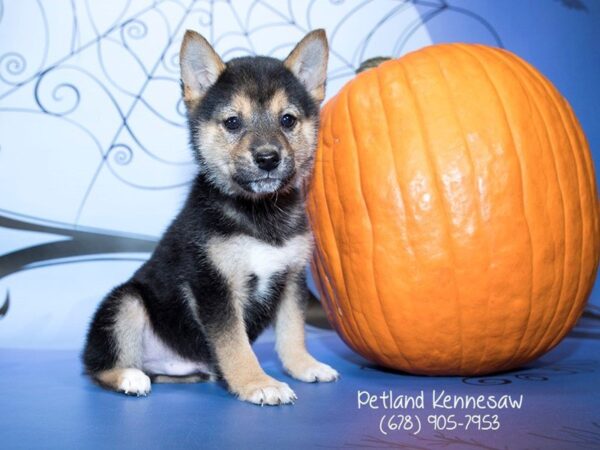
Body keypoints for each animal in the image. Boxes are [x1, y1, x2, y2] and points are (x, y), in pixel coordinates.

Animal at [81, 29, 338, 406]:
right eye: (232, 122)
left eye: (288, 120)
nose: (268, 158)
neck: (257, 213)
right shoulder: (214, 285)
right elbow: (236, 345)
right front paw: (256, 382)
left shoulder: (291, 278)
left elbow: (293, 331)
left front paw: (304, 365)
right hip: (125, 302)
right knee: (99, 366)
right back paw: (129, 376)